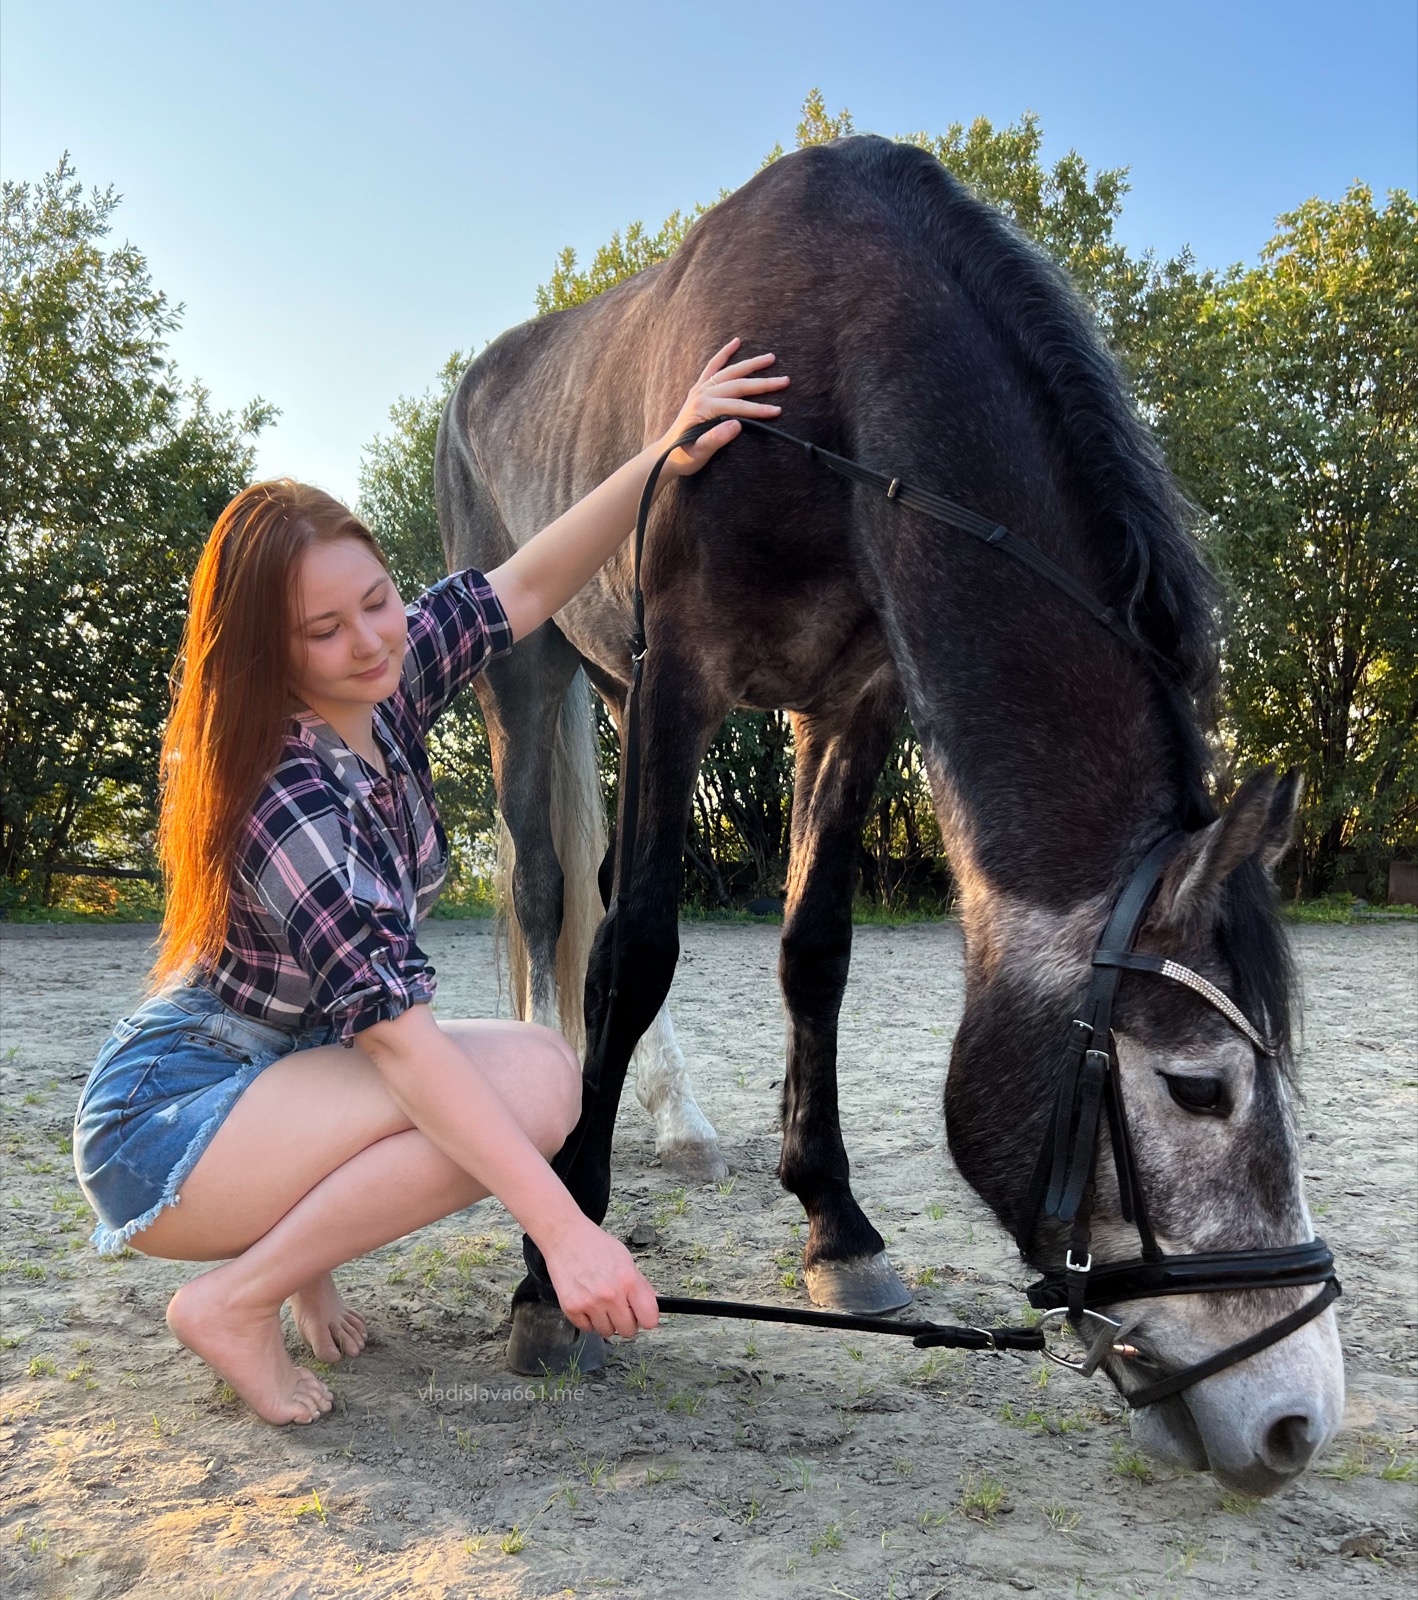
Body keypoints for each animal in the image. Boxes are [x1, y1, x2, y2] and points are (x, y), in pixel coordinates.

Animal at [436, 135, 1344, 1495]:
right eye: (1197, 1090)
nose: (1293, 1421)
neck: (833, 368)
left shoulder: (848, 702)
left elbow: (815, 952)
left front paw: (835, 1225)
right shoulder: (681, 672)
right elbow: (635, 949)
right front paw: (554, 1268)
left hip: (608, 680)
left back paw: (671, 1119)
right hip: (525, 665)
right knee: (551, 895)